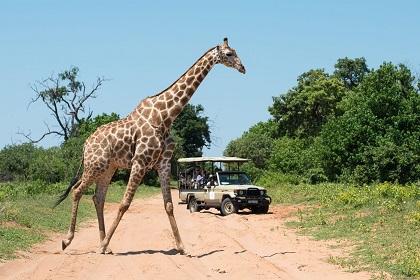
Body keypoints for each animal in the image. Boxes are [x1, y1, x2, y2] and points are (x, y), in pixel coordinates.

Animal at [53, 37, 244, 256]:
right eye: (229, 54)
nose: (243, 68)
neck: (165, 117)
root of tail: (85, 145)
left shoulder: (163, 163)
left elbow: (169, 205)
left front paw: (183, 248)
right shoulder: (140, 161)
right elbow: (124, 203)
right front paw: (101, 244)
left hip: (109, 167)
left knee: (98, 197)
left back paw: (105, 246)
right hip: (96, 165)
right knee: (77, 190)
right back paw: (69, 241)